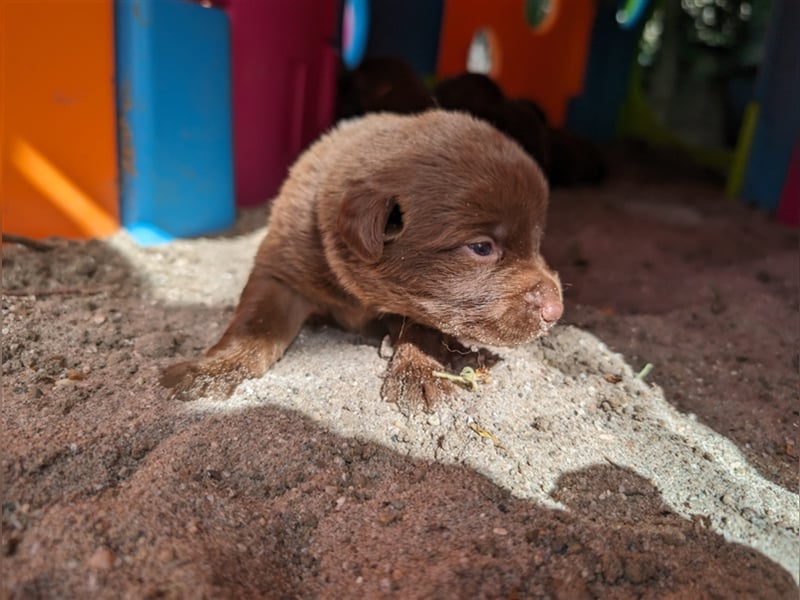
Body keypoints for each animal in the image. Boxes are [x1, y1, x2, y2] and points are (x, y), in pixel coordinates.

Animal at [162, 110, 564, 410]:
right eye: (481, 248)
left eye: (537, 241)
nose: (556, 312)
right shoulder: (282, 270)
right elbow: (255, 323)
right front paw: (212, 370)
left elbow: (423, 326)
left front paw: (420, 373)